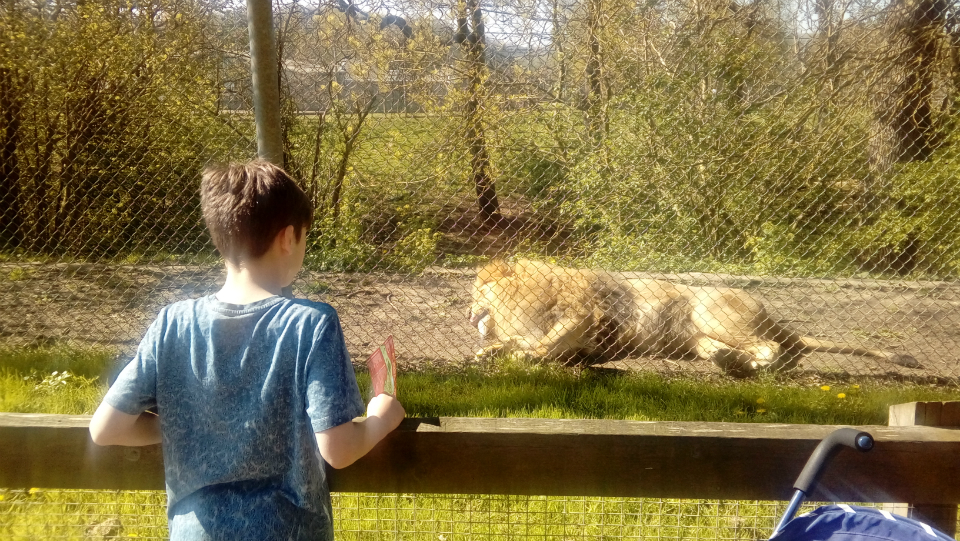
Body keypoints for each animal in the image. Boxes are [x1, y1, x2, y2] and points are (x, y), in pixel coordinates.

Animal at [469, 259, 918, 377]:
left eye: (474, 293)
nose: (468, 314)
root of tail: (768, 311)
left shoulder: (582, 315)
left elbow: (543, 345)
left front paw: (517, 355)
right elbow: (531, 346)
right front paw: (487, 353)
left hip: (708, 309)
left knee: (773, 348)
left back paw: (748, 363)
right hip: (698, 338)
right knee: (744, 350)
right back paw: (730, 361)